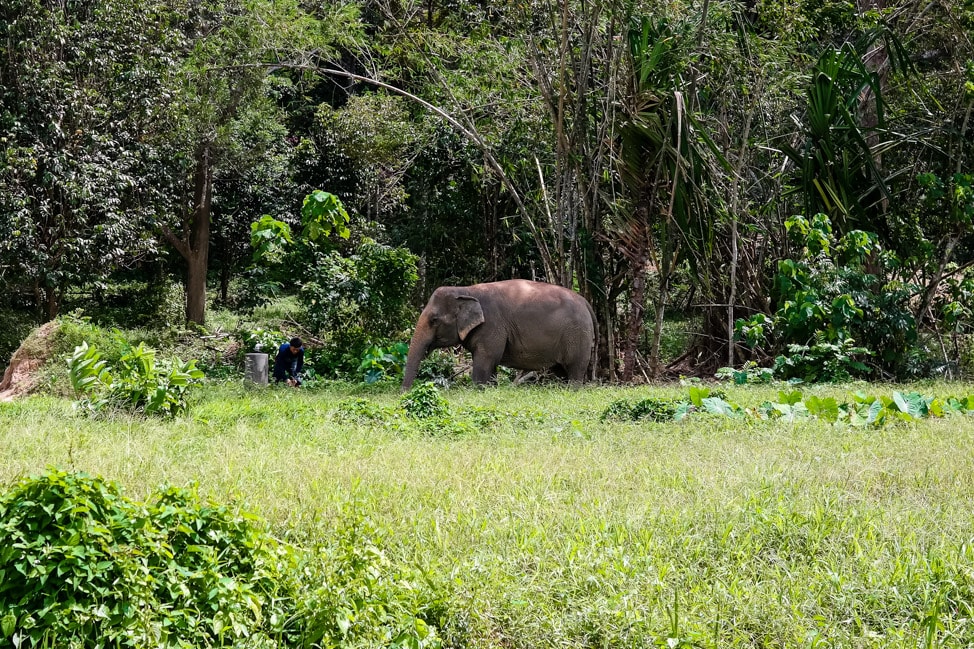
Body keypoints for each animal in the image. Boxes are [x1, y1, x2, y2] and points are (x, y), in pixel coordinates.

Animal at [402, 279, 597, 390]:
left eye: (434, 320)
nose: (404, 392)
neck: (466, 290)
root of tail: (586, 303)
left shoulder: (492, 326)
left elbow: (486, 358)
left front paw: (478, 390)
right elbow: (491, 363)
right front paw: (491, 388)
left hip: (578, 336)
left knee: (575, 369)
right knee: (561, 370)